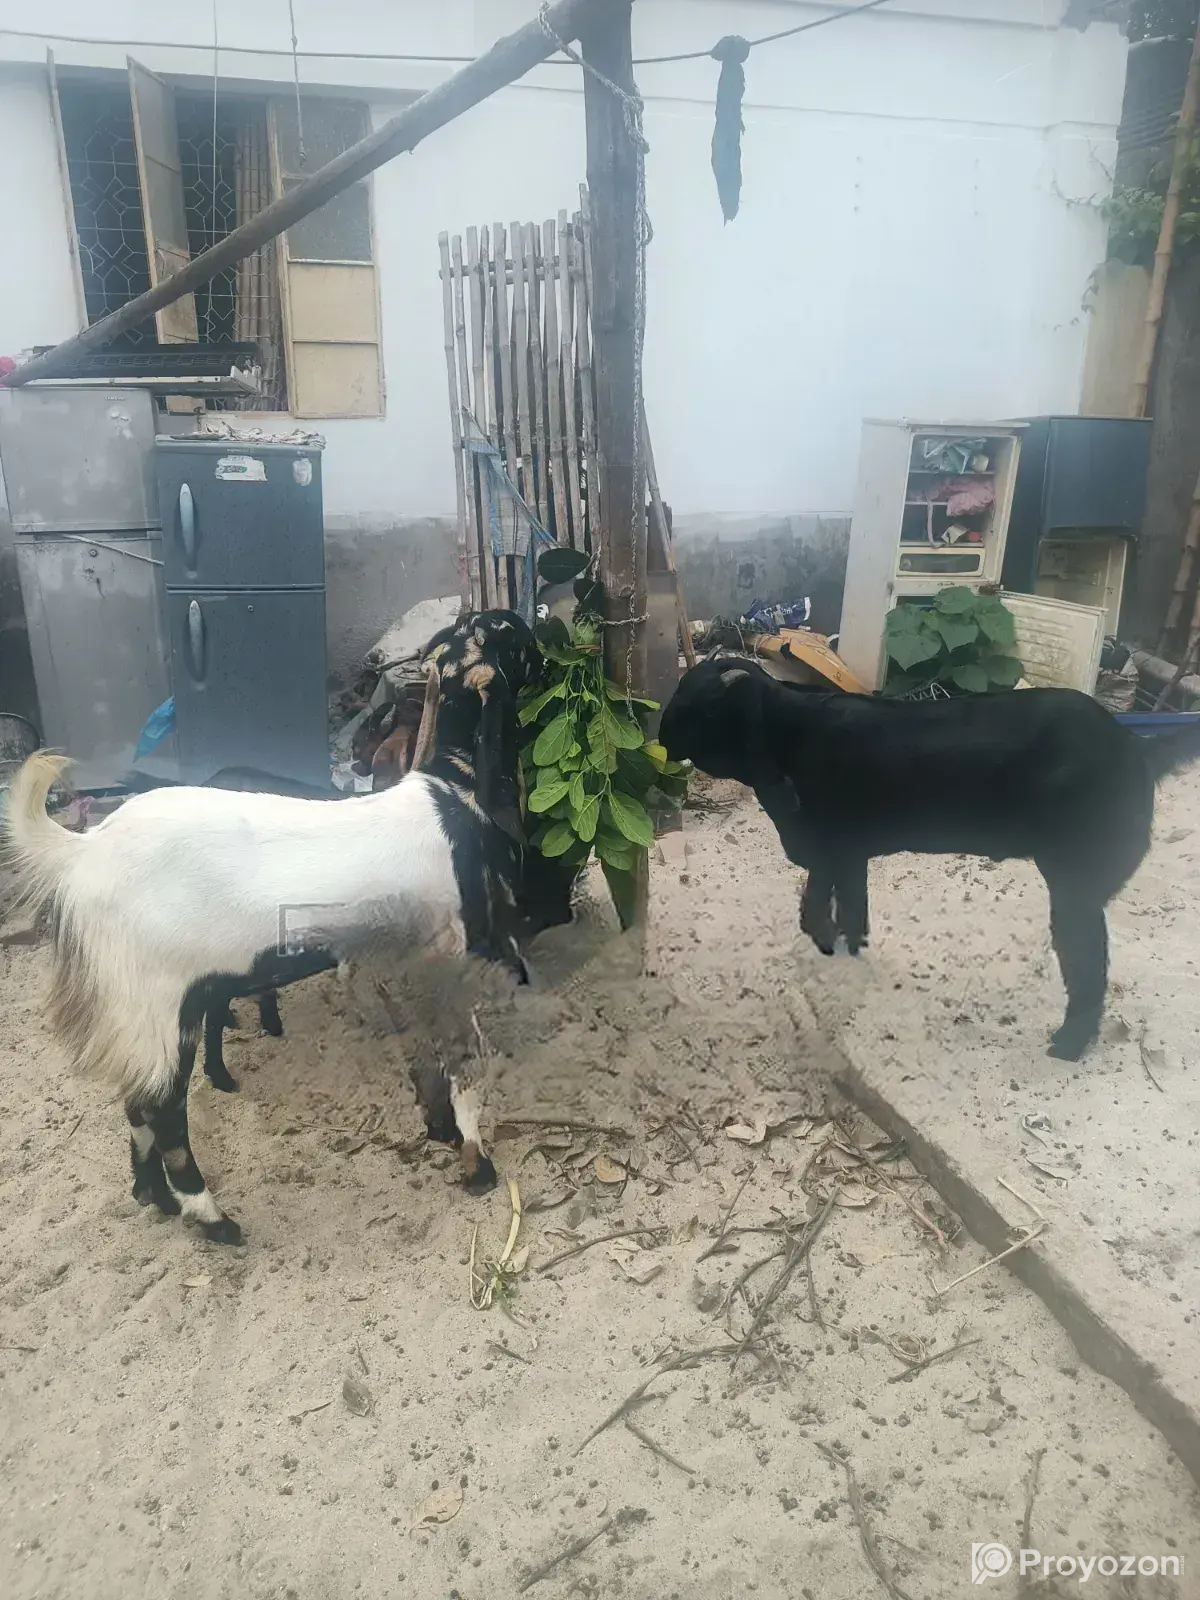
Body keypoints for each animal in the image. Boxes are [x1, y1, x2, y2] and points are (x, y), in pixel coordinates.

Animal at [4, 611, 547, 1244]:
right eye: (509, 633)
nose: (548, 641)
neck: (451, 795)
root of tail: (82, 851)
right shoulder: (453, 950)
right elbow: (463, 1064)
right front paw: (476, 1162)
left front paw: (438, 1128)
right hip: (157, 998)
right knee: (164, 1112)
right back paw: (212, 1218)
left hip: (139, 1010)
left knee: (138, 1102)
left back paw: (154, 1197)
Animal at [659, 656, 1200, 1060]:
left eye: (699, 706)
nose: (660, 736)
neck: (786, 736)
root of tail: (1136, 748)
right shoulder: (849, 852)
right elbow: (851, 905)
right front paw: (852, 954)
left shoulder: (830, 845)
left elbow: (818, 903)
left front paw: (826, 944)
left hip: (1076, 886)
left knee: (1088, 964)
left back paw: (1067, 1045)